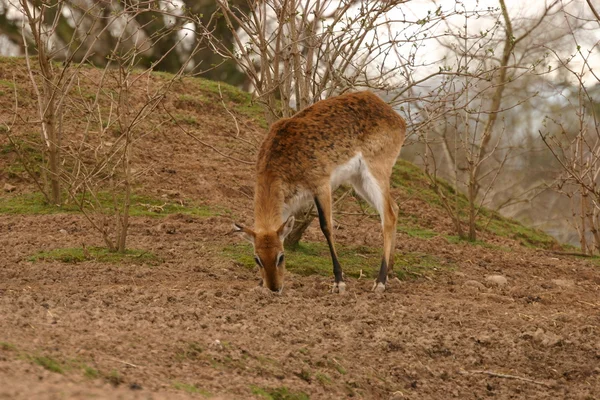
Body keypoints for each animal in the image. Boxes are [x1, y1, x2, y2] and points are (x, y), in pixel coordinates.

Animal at [232, 90, 406, 294]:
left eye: (281, 257)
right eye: (257, 259)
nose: (275, 288)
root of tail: (396, 117)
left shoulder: (321, 185)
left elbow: (326, 226)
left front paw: (339, 282)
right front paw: (260, 285)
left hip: (376, 172)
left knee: (388, 216)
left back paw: (380, 282)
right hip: (359, 181)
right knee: (395, 208)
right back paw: (391, 270)